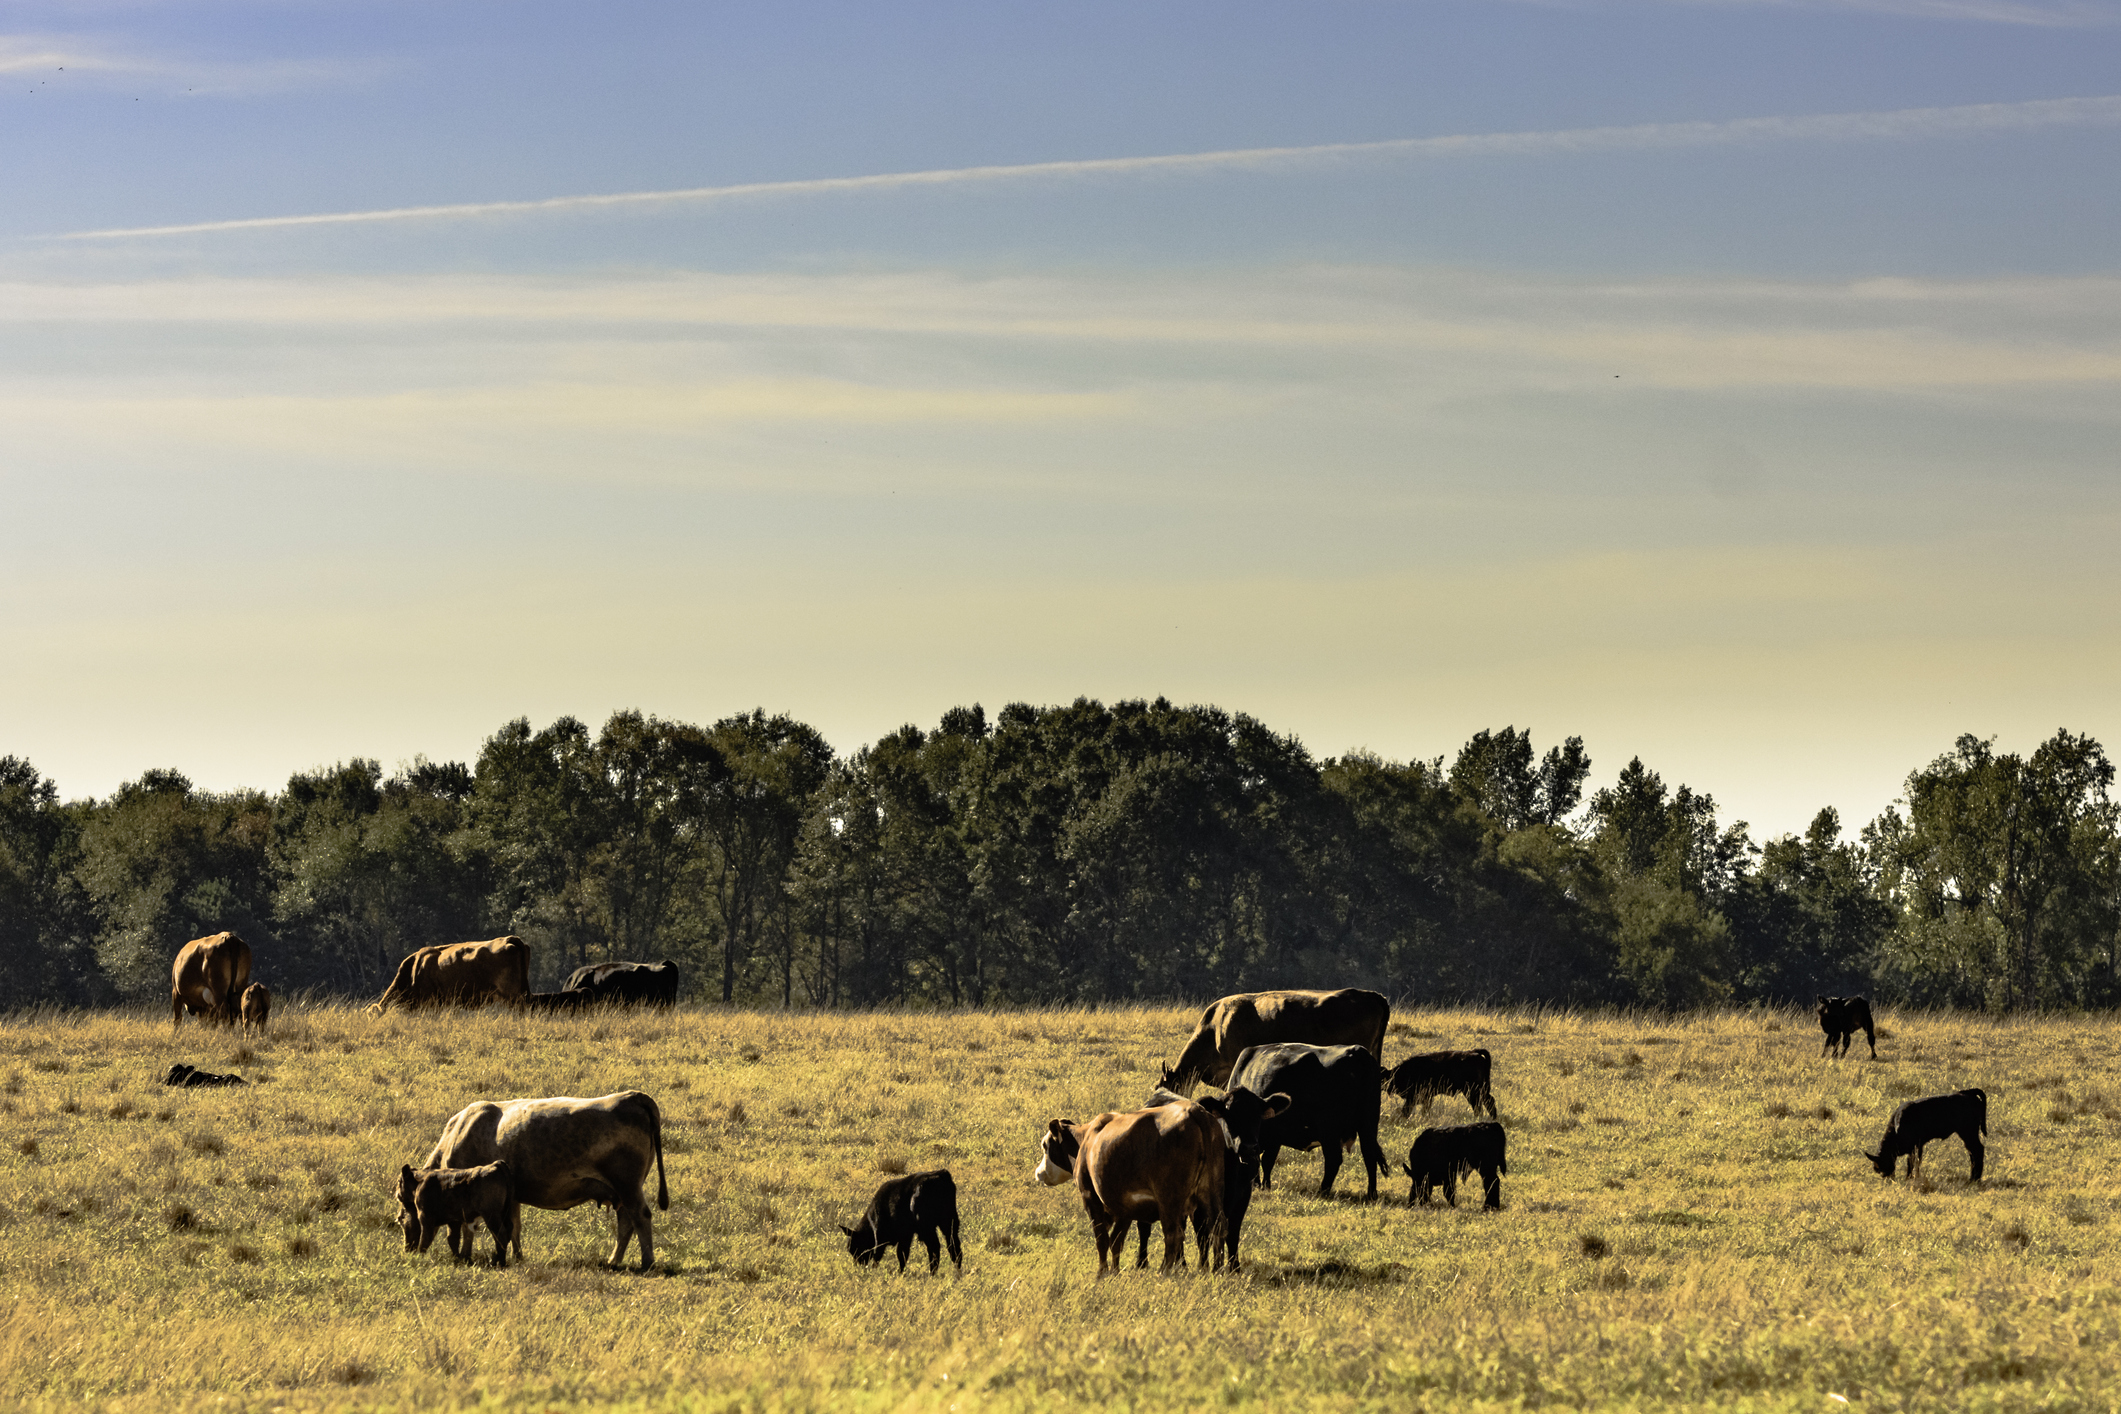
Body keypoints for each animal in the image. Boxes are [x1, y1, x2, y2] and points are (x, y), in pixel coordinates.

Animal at [417, 1093, 665, 1280]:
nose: (412, 1250)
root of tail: (632, 1095)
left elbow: (469, 1228)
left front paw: (467, 1256)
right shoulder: (511, 1197)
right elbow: (514, 1228)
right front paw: (517, 1257)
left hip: (627, 1185)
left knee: (640, 1217)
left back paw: (647, 1262)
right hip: (622, 1191)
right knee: (626, 1223)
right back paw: (614, 1261)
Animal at [839, 1170, 967, 1280]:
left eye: (855, 1247)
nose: (858, 1265)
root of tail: (941, 1174)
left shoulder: (882, 1237)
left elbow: (882, 1255)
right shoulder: (906, 1236)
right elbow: (903, 1254)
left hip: (927, 1227)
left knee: (935, 1247)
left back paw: (932, 1274)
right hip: (950, 1222)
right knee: (954, 1247)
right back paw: (957, 1273)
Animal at [1230, 1047, 1391, 1204]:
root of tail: (1358, 1051)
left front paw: (1259, 1185)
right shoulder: (1274, 1138)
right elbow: (1267, 1161)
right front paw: (1265, 1186)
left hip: (1330, 1130)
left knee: (1333, 1159)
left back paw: (1323, 1192)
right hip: (1368, 1126)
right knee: (1369, 1155)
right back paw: (1371, 1194)